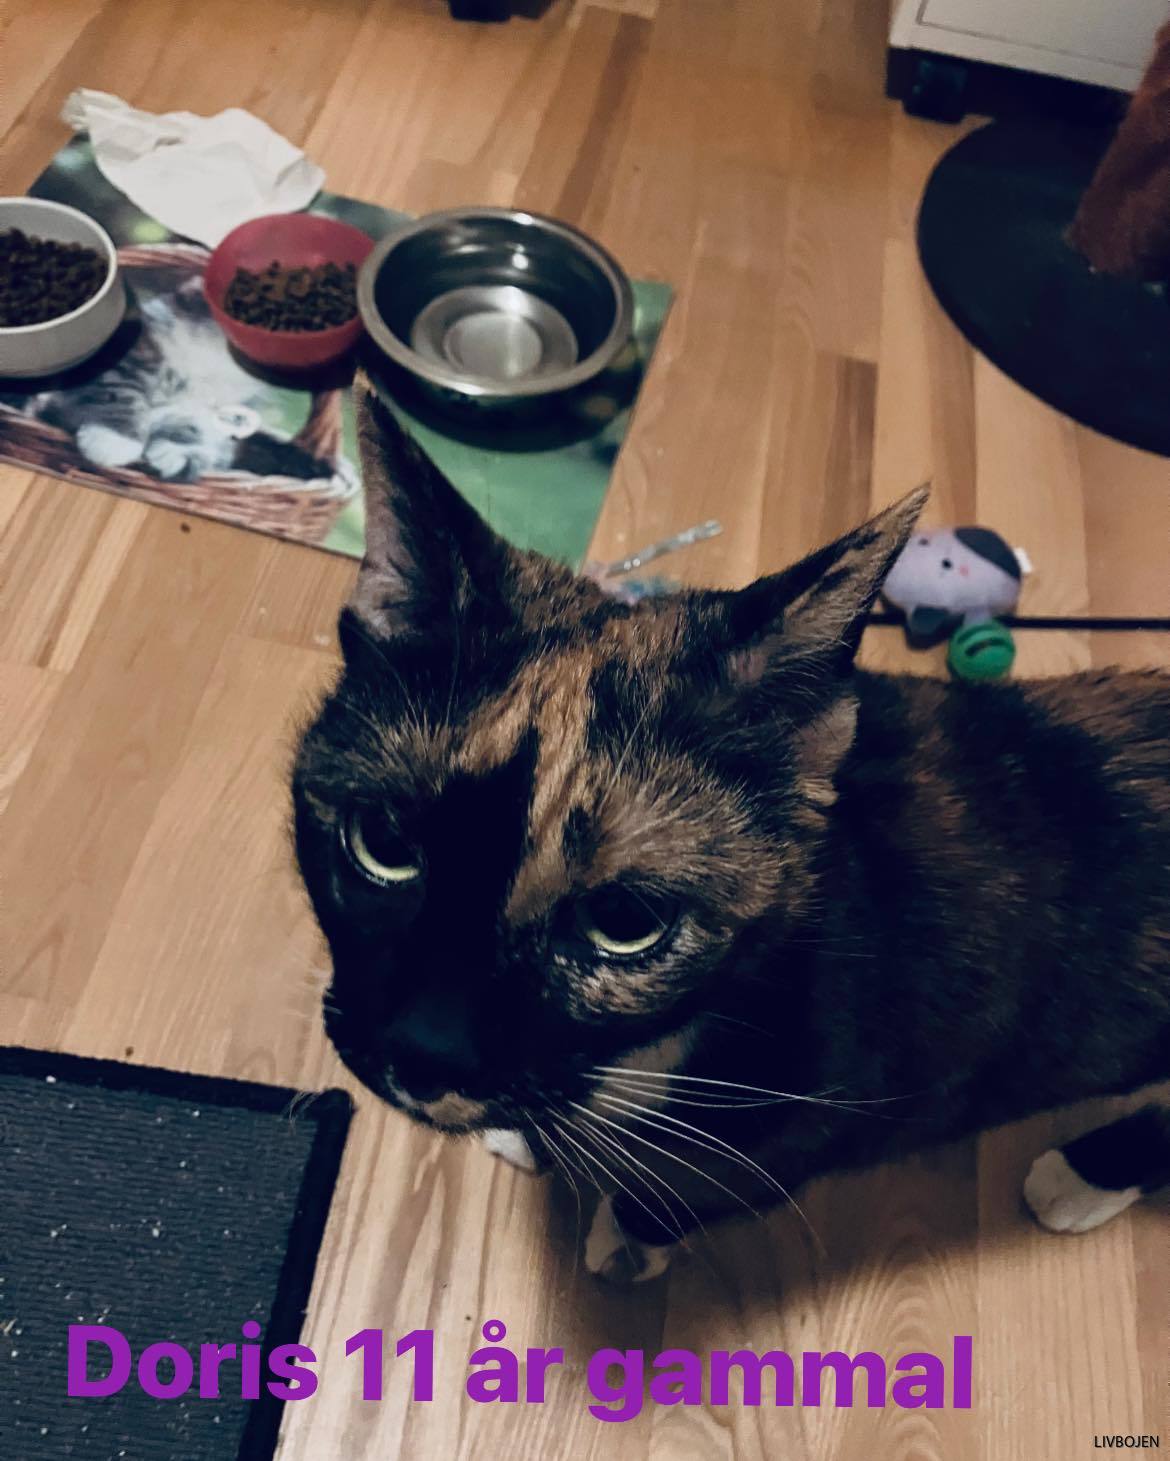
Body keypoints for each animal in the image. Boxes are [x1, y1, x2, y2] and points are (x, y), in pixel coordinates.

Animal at [292, 375, 1170, 1282]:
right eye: (383, 846)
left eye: (626, 923)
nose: (426, 1051)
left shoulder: (796, 1134)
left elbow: (690, 1186)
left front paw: (629, 1233)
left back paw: (1083, 1176)